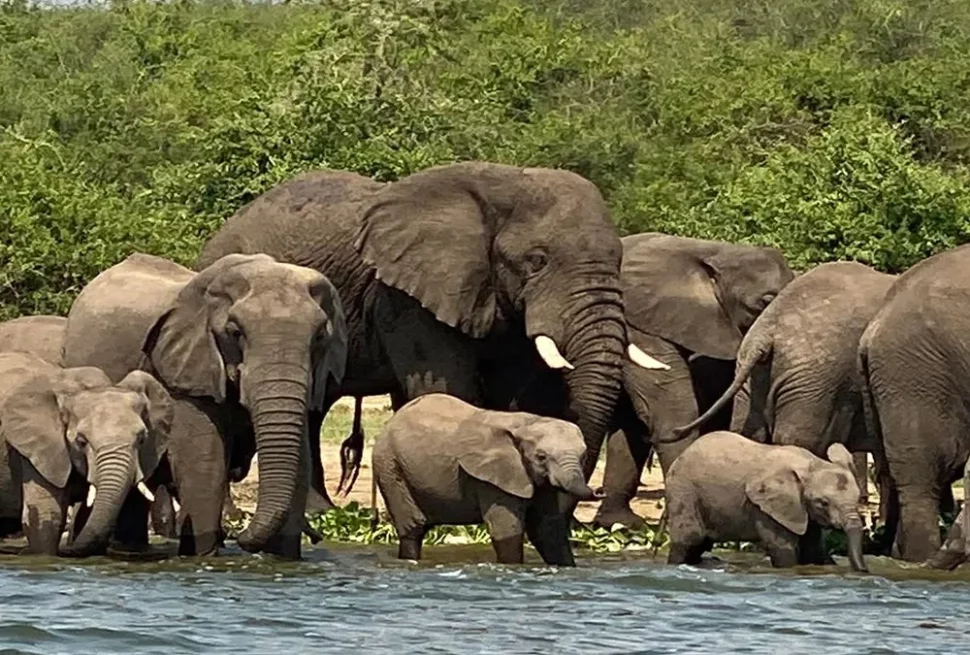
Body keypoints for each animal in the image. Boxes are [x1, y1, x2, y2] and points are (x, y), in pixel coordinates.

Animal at [61, 252, 347, 558]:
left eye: (320, 337)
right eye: (234, 332)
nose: (241, 536)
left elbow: (300, 460)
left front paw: (281, 560)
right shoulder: (188, 367)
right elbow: (204, 457)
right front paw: (203, 556)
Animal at [196, 162, 668, 522]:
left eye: (619, 261)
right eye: (537, 261)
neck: (504, 182)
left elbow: (511, 396)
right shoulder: (406, 298)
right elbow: (447, 388)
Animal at [372, 393, 600, 565]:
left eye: (583, 456)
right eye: (541, 457)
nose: (599, 491)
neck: (526, 423)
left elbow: (547, 529)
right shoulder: (493, 478)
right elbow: (506, 530)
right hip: (390, 466)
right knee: (413, 529)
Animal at [665, 431, 868, 572]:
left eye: (858, 498)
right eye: (823, 502)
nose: (864, 571)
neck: (813, 463)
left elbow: (812, 549)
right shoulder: (768, 507)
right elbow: (782, 548)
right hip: (683, 490)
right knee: (689, 540)